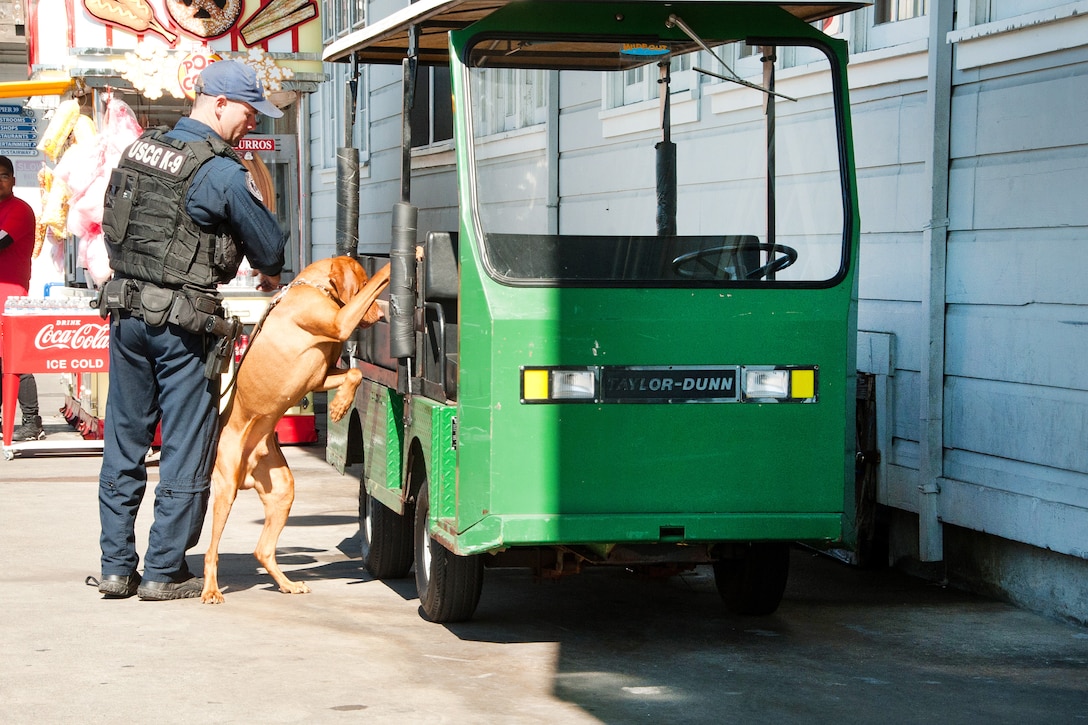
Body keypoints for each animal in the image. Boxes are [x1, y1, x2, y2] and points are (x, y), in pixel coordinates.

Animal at [204, 256, 391, 600]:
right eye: (361, 281)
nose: (382, 315)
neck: (315, 289)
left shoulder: (320, 376)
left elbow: (354, 373)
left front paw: (340, 404)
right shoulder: (341, 322)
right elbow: (375, 286)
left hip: (281, 490)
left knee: (263, 549)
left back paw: (287, 584)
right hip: (226, 489)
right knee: (212, 550)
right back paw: (210, 590)